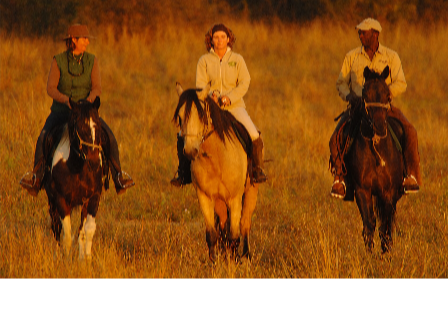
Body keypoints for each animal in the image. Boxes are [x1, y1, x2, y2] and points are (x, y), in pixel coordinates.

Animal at [45, 97, 105, 260]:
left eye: (98, 127)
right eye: (80, 128)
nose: (94, 163)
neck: (77, 167)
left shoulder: (93, 197)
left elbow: (87, 230)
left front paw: (86, 259)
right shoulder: (60, 199)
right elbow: (66, 234)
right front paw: (65, 260)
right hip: (52, 201)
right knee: (56, 228)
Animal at [174, 84, 260, 262]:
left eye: (201, 115)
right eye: (179, 117)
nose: (190, 151)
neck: (217, 158)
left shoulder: (235, 199)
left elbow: (234, 235)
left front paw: (234, 262)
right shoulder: (204, 197)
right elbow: (212, 234)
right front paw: (214, 261)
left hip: (250, 193)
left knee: (245, 224)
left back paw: (245, 255)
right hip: (220, 202)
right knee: (222, 225)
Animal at [344, 67, 406, 253]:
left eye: (388, 95)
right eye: (365, 95)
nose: (379, 126)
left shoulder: (389, 192)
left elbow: (385, 225)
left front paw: (386, 253)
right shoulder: (362, 190)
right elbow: (369, 223)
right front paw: (369, 253)